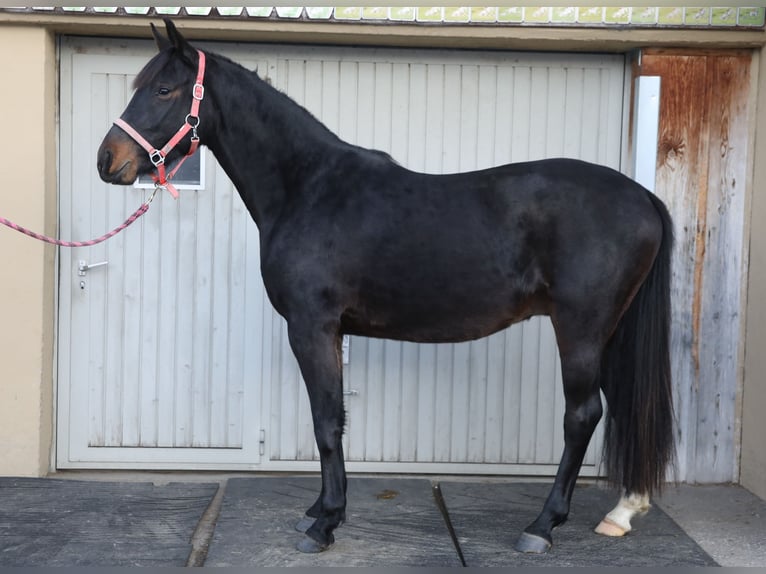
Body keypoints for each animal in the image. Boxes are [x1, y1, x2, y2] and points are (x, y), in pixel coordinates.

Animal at [97, 20, 675, 555]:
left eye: (164, 90)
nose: (107, 161)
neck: (307, 187)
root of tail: (642, 196)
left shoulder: (310, 326)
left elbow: (324, 420)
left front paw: (325, 524)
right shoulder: (331, 331)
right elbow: (333, 420)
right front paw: (319, 510)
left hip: (580, 328)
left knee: (583, 415)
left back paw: (542, 526)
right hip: (609, 331)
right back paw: (621, 511)